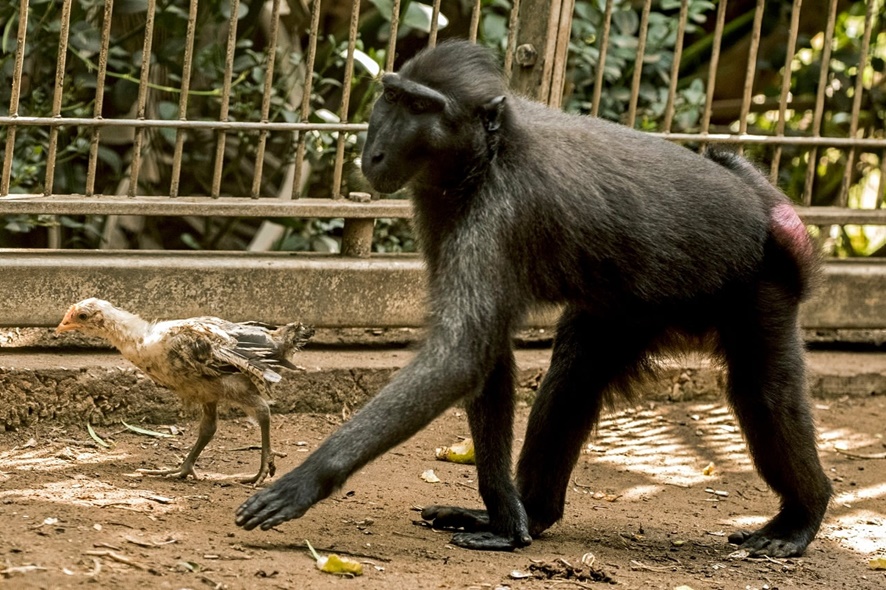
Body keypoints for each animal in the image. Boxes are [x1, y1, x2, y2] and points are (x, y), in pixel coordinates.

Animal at [236, 40, 832, 557]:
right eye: (394, 97)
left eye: (423, 107)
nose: (376, 151)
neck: (491, 152)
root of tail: (765, 206)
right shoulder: (440, 206)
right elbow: (487, 357)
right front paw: (504, 517)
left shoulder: (501, 213)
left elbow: (459, 358)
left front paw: (304, 482)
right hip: (633, 306)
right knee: (575, 375)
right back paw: (538, 511)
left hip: (759, 288)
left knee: (762, 393)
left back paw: (803, 514)